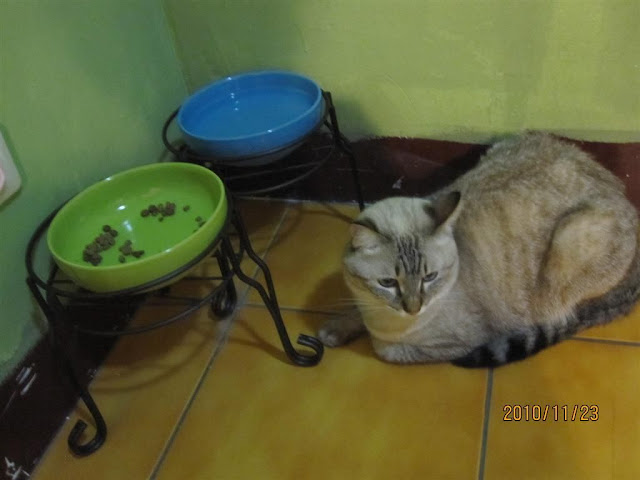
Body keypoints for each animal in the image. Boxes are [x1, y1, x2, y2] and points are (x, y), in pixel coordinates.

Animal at [318, 132, 640, 367]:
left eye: (430, 277)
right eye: (387, 282)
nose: (413, 308)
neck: (385, 320)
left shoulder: (461, 342)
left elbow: (384, 349)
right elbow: (354, 314)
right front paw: (334, 330)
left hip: (569, 242)